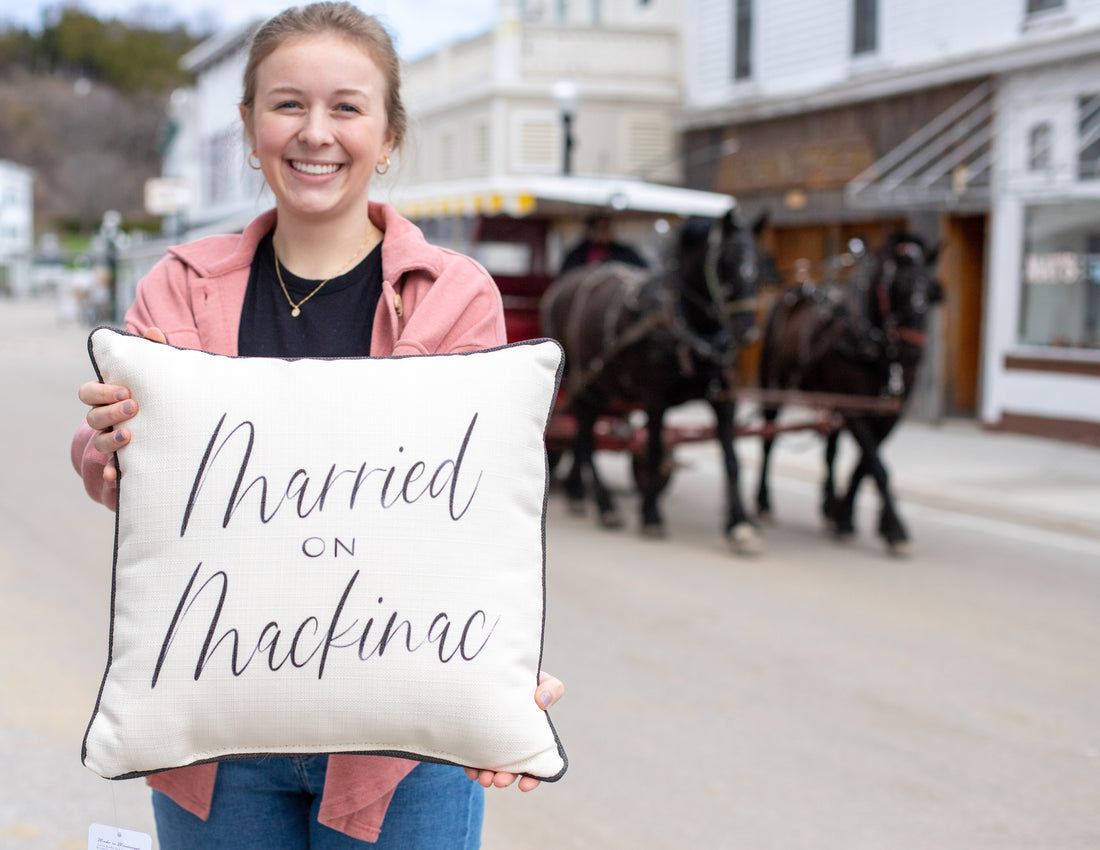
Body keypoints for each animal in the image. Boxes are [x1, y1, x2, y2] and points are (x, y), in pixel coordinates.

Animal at [541, 206, 765, 549]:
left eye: (762, 262)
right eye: (725, 261)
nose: (749, 332)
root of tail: (561, 287)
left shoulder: (724, 399)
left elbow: (732, 460)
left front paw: (740, 524)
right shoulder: (655, 398)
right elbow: (655, 448)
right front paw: (651, 515)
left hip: (602, 384)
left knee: (582, 432)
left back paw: (580, 493)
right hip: (583, 381)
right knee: (585, 437)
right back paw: (604, 505)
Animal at [756, 232, 946, 554]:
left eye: (932, 292)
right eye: (898, 287)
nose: (914, 355)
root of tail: (794, 289)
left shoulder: (889, 412)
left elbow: (866, 465)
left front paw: (850, 517)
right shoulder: (855, 408)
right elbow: (876, 465)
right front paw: (892, 528)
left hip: (831, 399)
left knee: (830, 451)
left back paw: (829, 506)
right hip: (775, 384)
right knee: (769, 438)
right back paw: (763, 502)